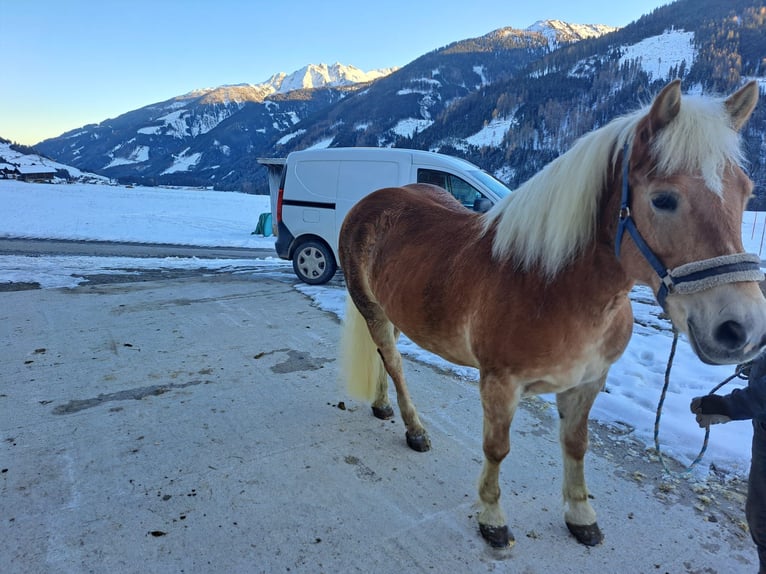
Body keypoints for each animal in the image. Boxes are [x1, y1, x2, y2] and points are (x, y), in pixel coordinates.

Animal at [340, 79, 766, 552]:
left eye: (745, 193)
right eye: (663, 199)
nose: (741, 330)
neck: (553, 287)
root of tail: (372, 202)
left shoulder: (587, 383)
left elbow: (576, 446)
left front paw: (580, 516)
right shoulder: (500, 386)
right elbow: (497, 450)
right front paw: (492, 518)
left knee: (385, 357)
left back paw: (382, 406)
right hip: (372, 309)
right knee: (395, 362)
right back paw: (414, 429)